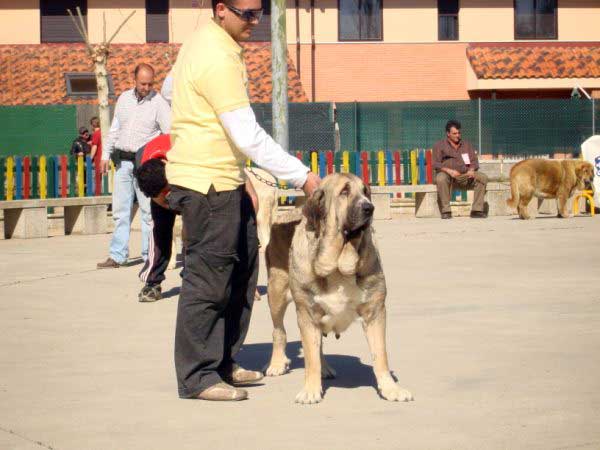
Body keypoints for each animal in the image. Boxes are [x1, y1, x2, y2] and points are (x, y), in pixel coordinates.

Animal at [266, 172, 412, 404]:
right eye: (344, 191)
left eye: (365, 191)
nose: (369, 207)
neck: (338, 265)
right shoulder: (307, 312)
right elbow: (310, 358)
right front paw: (310, 390)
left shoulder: (375, 311)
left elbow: (380, 354)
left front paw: (391, 389)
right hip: (276, 292)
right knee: (279, 330)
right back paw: (277, 364)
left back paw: (325, 369)